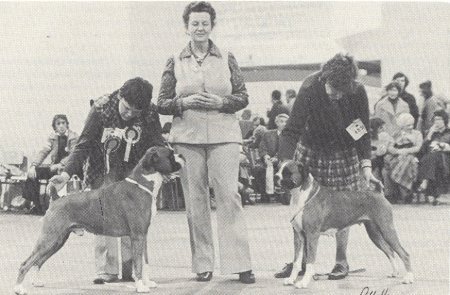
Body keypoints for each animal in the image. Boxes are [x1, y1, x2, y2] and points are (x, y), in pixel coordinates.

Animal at [15, 147, 185, 295]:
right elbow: (138, 262)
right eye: (170, 154)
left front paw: (147, 282)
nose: (181, 155)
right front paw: (140, 287)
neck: (142, 184)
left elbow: (145, 261)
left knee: (38, 262)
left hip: (57, 241)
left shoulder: (143, 235)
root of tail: (56, 198)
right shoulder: (137, 235)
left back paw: (36, 282)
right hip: (49, 239)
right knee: (26, 263)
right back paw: (19, 288)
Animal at [274, 161, 414, 290]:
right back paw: (395, 272)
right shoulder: (299, 235)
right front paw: (291, 279)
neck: (302, 195)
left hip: (387, 230)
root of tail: (377, 192)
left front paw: (303, 282)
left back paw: (408, 278)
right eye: (278, 169)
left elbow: (310, 261)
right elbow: (297, 261)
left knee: (404, 253)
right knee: (390, 251)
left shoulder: (312, 235)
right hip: (374, 234)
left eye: (287, 172)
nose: (275, 176)